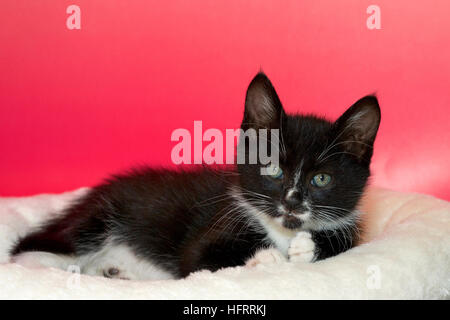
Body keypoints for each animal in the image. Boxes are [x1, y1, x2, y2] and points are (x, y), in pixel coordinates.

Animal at [10, 72, 380, 280]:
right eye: (273, 169)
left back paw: (113, 272)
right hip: (97, 218)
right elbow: (201, 260)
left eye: (321, 180)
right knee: (33, 246)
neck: (282, 231)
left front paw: (308, 247)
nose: (292, 202)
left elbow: (344, 241)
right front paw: (268, 257)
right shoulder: (210, 233)